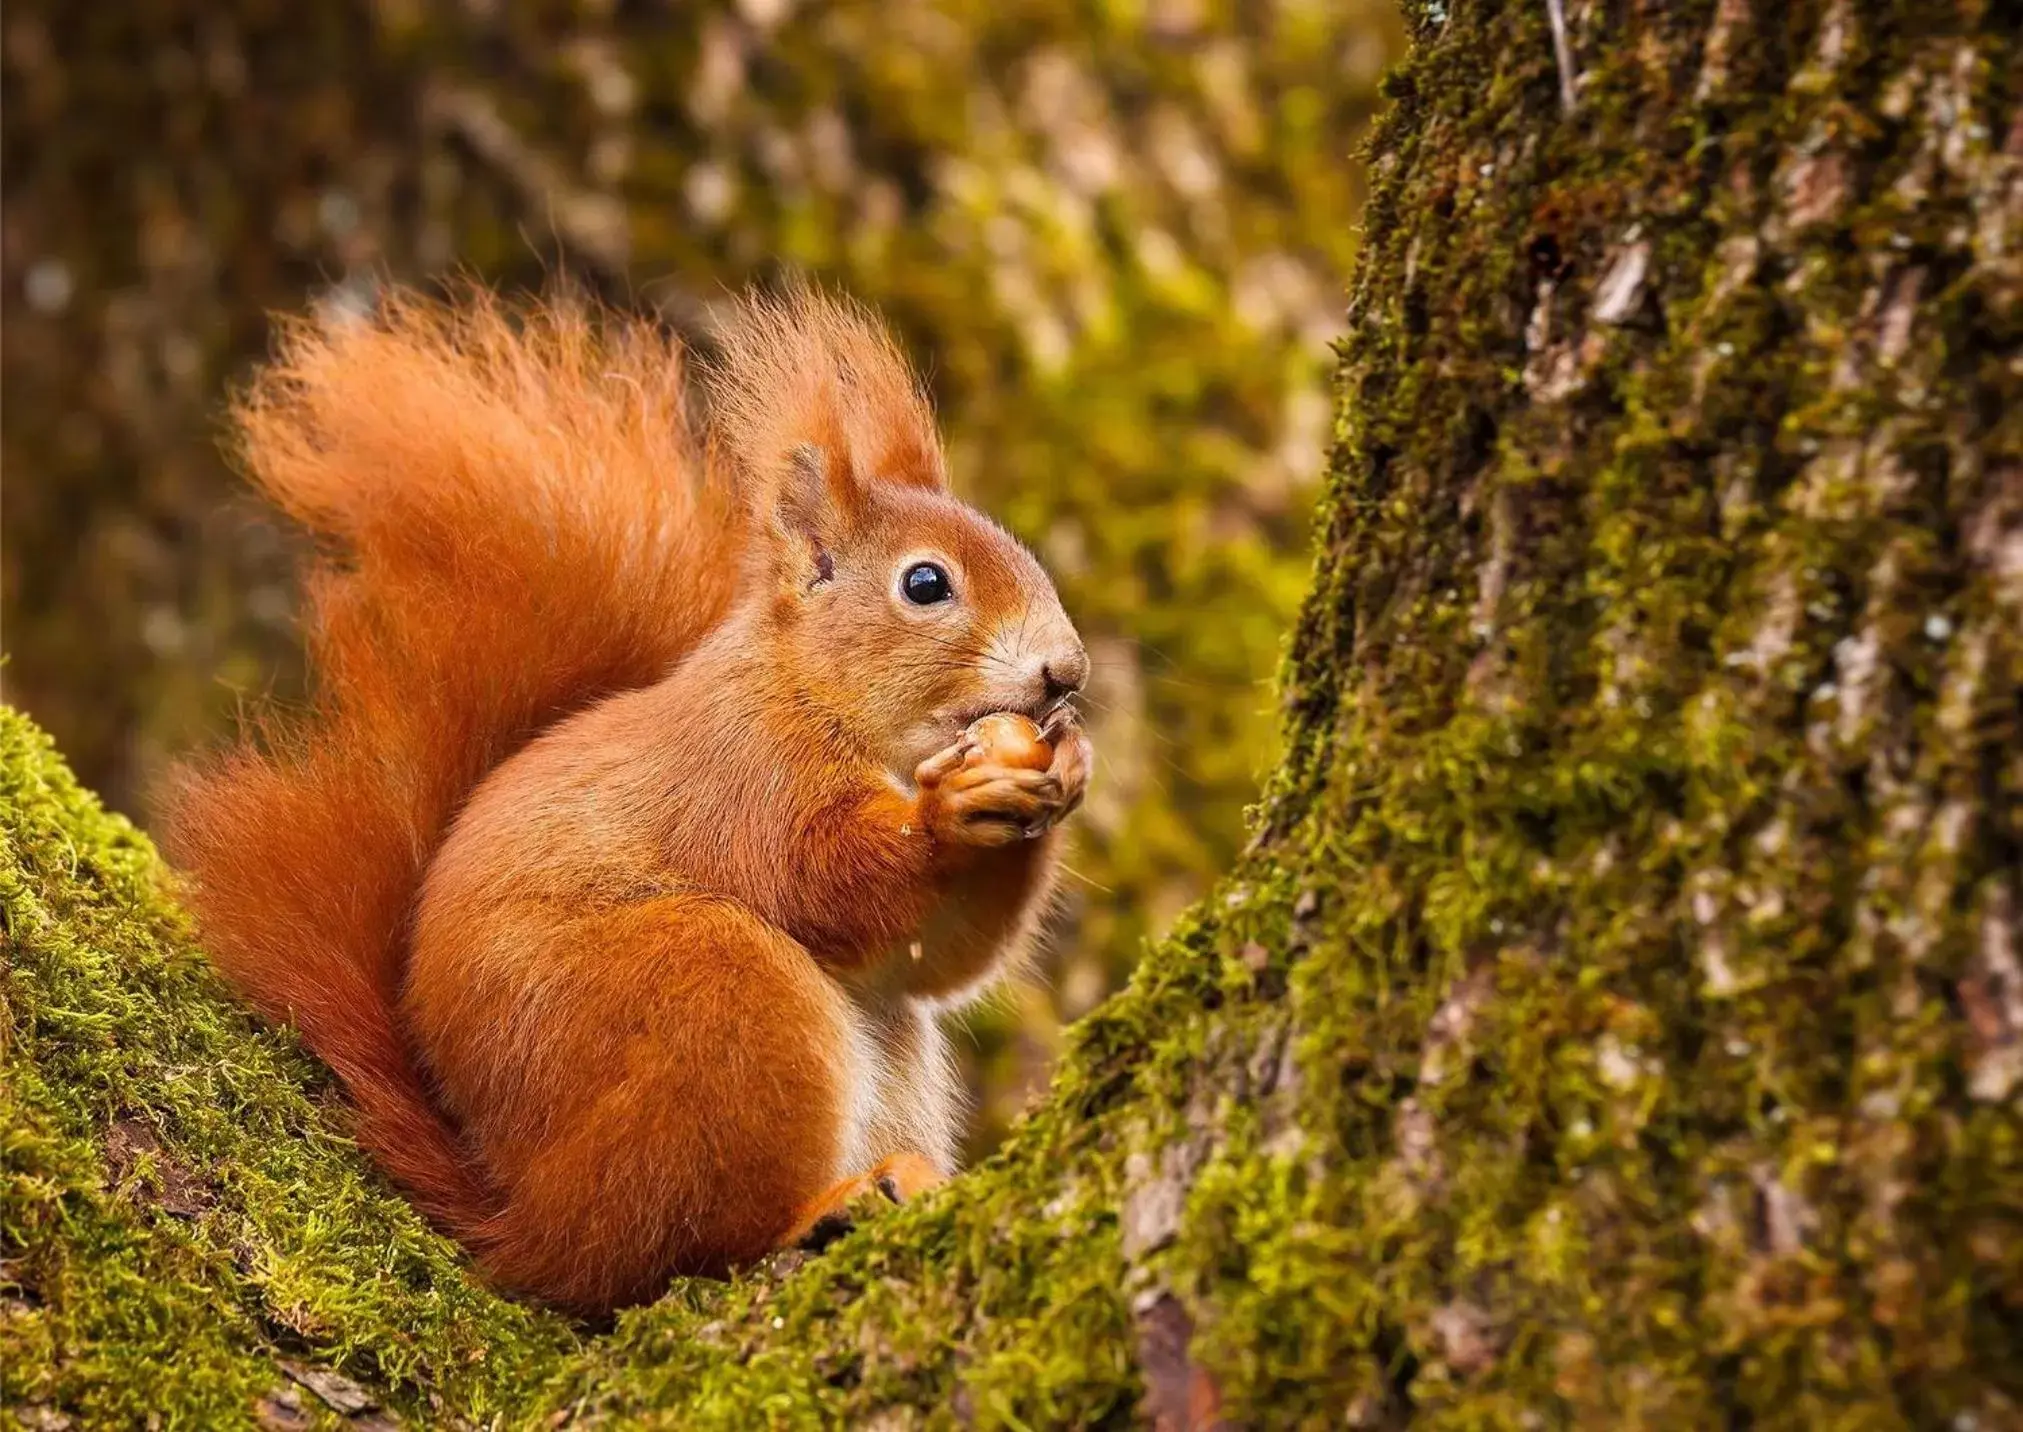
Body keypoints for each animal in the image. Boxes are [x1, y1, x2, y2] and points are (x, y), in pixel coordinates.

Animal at [161, 285, 1092, 1310]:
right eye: (925, 583)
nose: (1067, 671)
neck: (816, 693)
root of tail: (521, 1220)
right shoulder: (742, 776)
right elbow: (819, 878)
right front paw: (946, 814)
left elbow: (940, 958)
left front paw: (1064, 771)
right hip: (710, 996)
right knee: (671, 1250)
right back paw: (818, 1210)